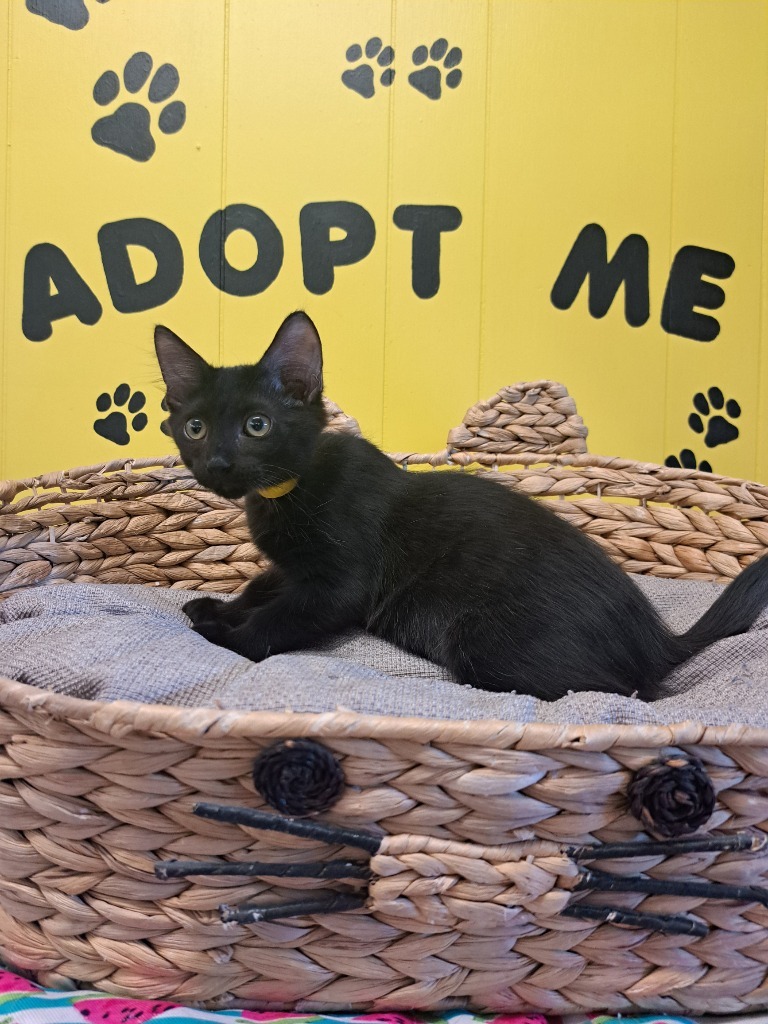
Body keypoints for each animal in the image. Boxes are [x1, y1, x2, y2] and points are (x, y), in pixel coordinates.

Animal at [154, 311, 768, 700]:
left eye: (258, 425)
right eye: (195, 426)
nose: (218, 463)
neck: (288, 490)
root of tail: (657, 640)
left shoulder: (337, 585)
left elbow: (276, 621)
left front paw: (224, 634)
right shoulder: (292, 569)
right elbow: (261, 586)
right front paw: (219, 606)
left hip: (483, 643)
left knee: (620, 693)